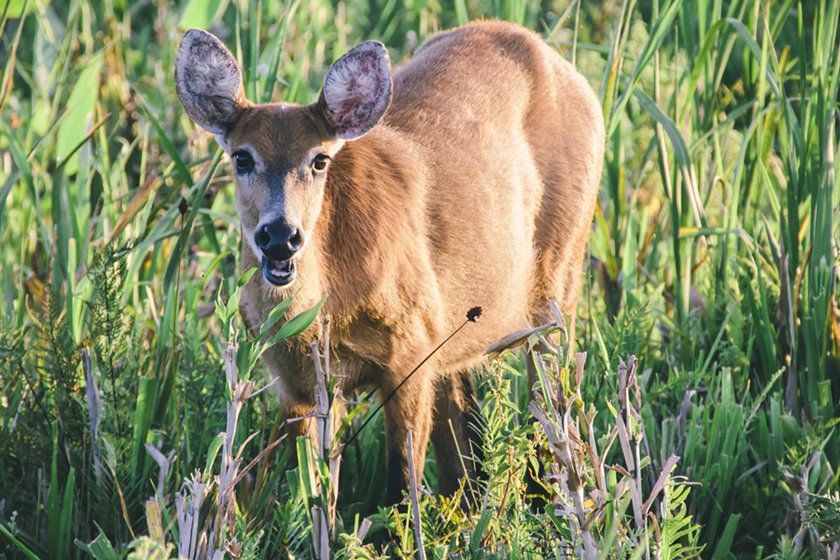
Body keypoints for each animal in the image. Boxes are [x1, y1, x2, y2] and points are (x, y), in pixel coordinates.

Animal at [176, 19, 604, 506]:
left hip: (559, 281)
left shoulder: (411, 350)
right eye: (242, 157)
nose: (280, 237)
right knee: (463, 426)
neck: (328, 307)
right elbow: (301, 487)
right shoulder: (293, 379)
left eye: (319, 159)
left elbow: (401, 481)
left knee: (549, 405)